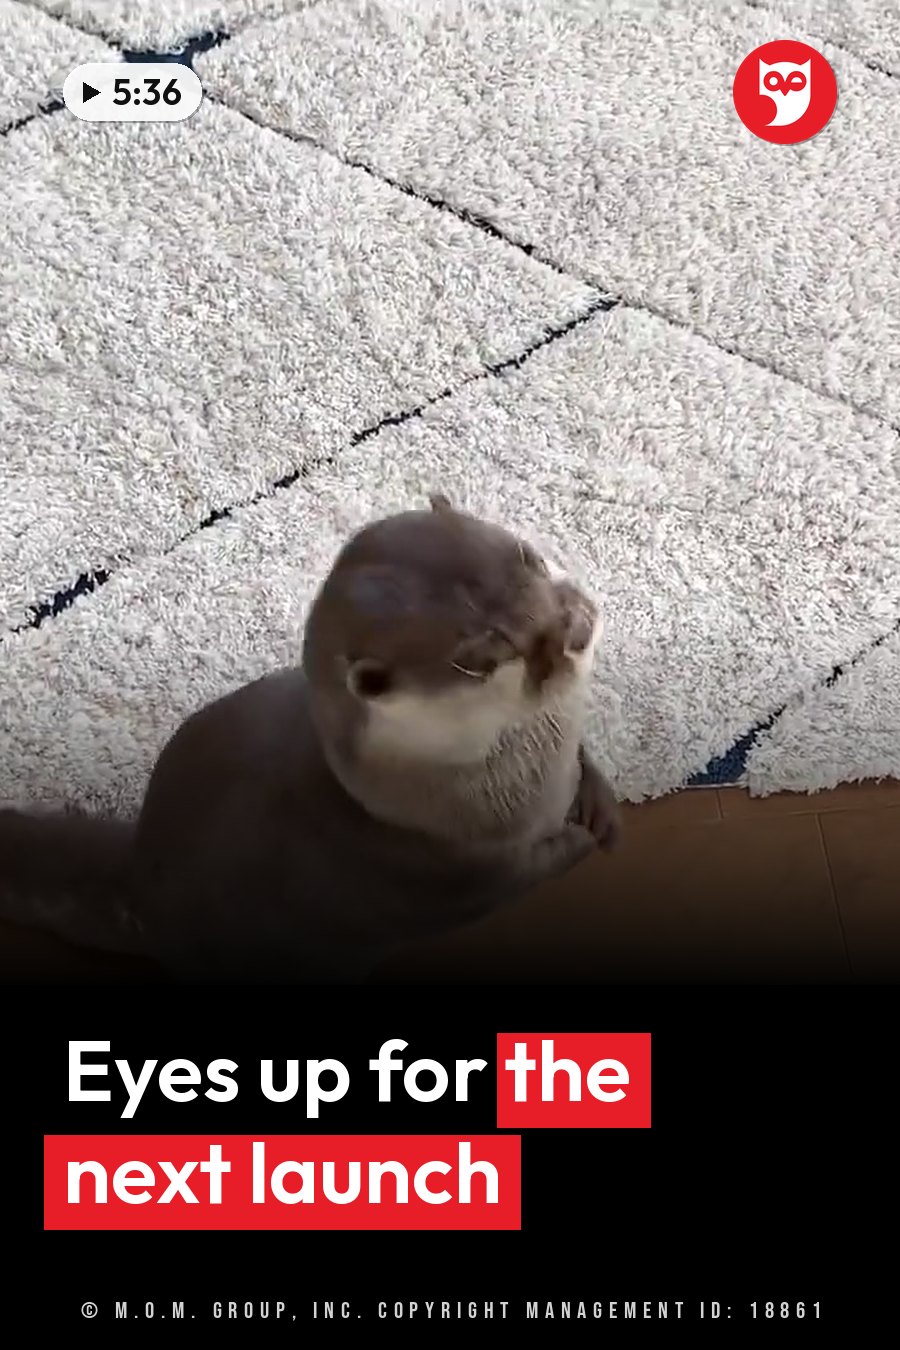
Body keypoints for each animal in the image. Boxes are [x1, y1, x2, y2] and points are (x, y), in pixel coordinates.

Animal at [0, 496, 619, 982]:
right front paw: (579, 842)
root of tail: (141, 880)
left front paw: (601, 804)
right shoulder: (466, 876)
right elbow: (534, 870)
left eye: (530, 557)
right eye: (482, 659)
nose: (571, 627)